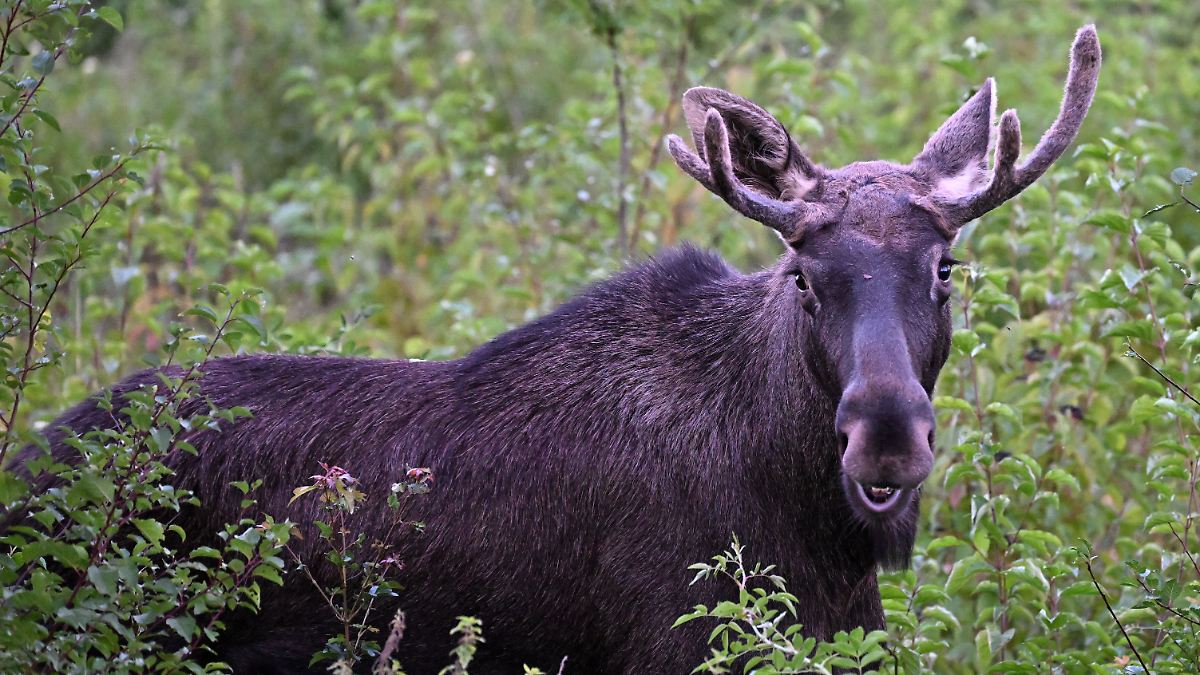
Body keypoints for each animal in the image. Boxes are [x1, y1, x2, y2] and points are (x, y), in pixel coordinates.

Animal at [16, 25, 1100, 674]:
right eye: (802, 275)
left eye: (945, 267)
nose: (886, 436)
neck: (819, 538)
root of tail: (31, 463)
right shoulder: (674, 646)